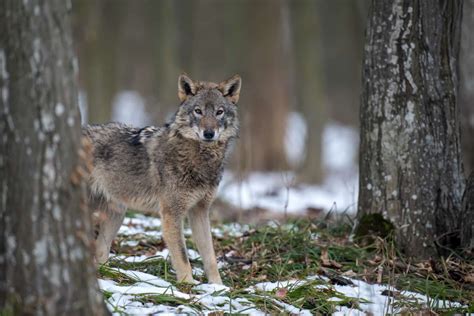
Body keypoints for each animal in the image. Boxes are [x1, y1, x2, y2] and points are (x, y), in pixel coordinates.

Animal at [82, 73, 243, 284]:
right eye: (198, 111)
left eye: (219, 112)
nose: (209, 133)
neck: (201, 159)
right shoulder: (171, 214)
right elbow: (182, 257)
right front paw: (188, 285)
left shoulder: (200, 212)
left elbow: (210, 257)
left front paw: (218, 287)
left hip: (117, 213)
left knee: (101, 251)